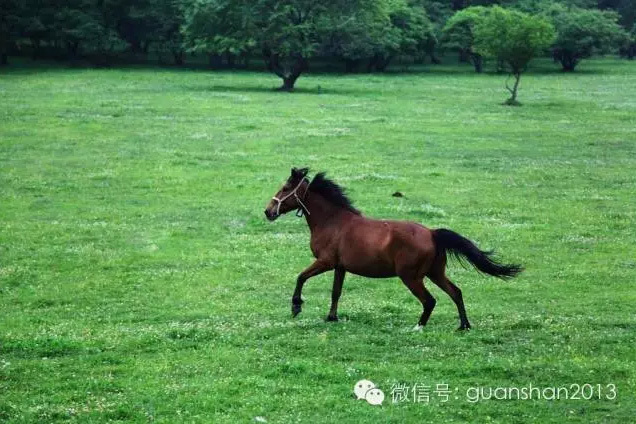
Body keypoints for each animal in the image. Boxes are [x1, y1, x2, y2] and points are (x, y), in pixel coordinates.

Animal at [264, 167, 520, 330]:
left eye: (285, 187)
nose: (268, 211)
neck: (332, 221)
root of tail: (432, 233)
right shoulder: (340, 267)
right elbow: (336, 292)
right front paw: (331, 318)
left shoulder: (325, 262)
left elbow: (301, 277)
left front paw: (296, 307)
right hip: (435, 273)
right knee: (456, 292)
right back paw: (463, 326)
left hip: (411, 277)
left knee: (430, 300)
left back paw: (418, 327)